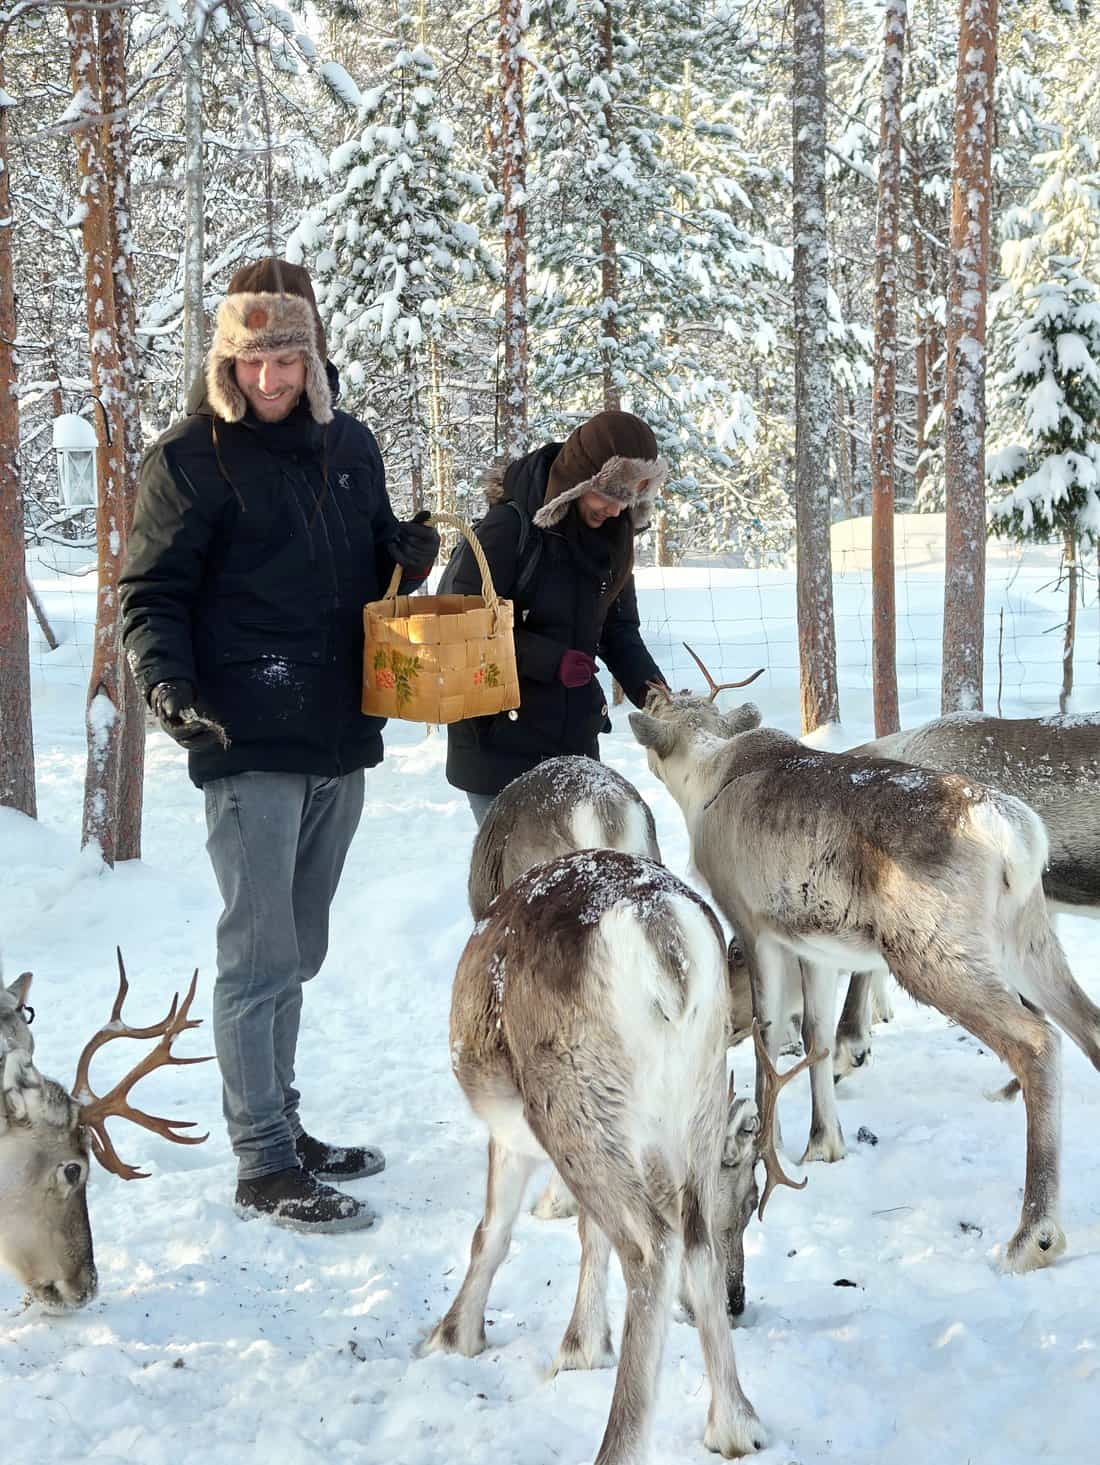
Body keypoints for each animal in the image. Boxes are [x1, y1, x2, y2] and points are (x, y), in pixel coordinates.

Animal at [423, 849, 816, 1463]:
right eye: (749, 1202)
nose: (739, 1301)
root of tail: (664, 936)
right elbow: (589, 1235)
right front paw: (583, 1345)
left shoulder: (510, 1136)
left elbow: (492, 1234)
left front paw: (452, 1336)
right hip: (695, 1107)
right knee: (694, 1242)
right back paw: (735, 1424)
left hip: (570, 1105)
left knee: (651, 1247)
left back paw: (619, 1446)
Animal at [629, 657, 1100, 1273]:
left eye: (659, 708)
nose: (648, 687)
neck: (708, 779)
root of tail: (1017, 837)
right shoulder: (816, 946)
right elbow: (817, 1035)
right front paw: (824, 1142)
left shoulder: (754, 926)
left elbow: (767, 1034)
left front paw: (771, 1143)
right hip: (1025, 939)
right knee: (1087, 1023)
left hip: (934, 954)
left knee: (1038, 1043)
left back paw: (1033, 1235)